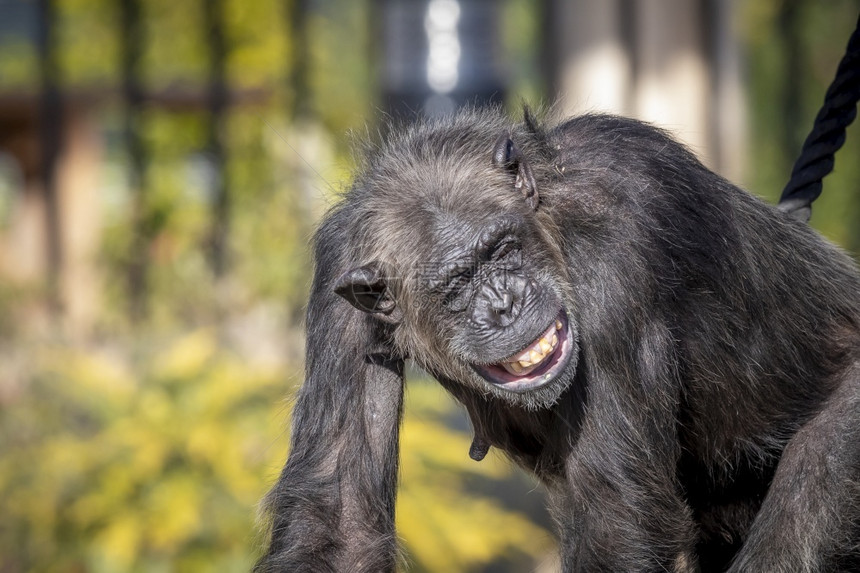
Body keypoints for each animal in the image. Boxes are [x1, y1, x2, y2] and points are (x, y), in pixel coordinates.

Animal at [255, 108, 860, 572]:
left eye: (502, 249)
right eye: (456, 284)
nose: (504, 303)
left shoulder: (616, 245)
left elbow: (616, 516)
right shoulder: (340, 272)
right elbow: (341, 519)